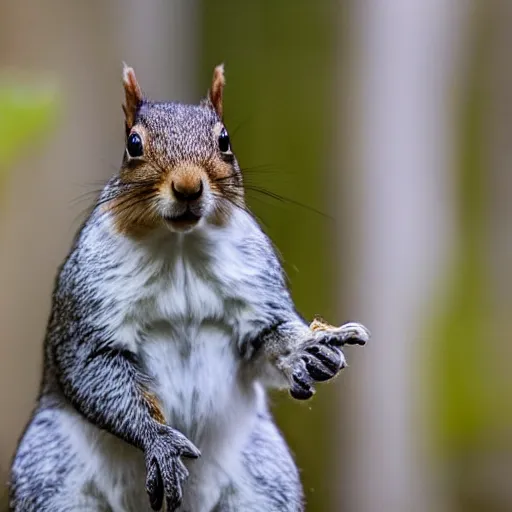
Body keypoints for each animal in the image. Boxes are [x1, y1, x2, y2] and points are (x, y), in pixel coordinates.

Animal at [8, 64, 368, 512]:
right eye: (133, 144)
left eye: (225, 141)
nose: (187, 185)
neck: (180, 249)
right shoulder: (89, 312)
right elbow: (95, 370)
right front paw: (159, 442)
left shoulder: (257, 290)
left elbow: (269, 339)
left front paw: (308, 348)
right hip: (48, 475)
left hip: (267, 479)